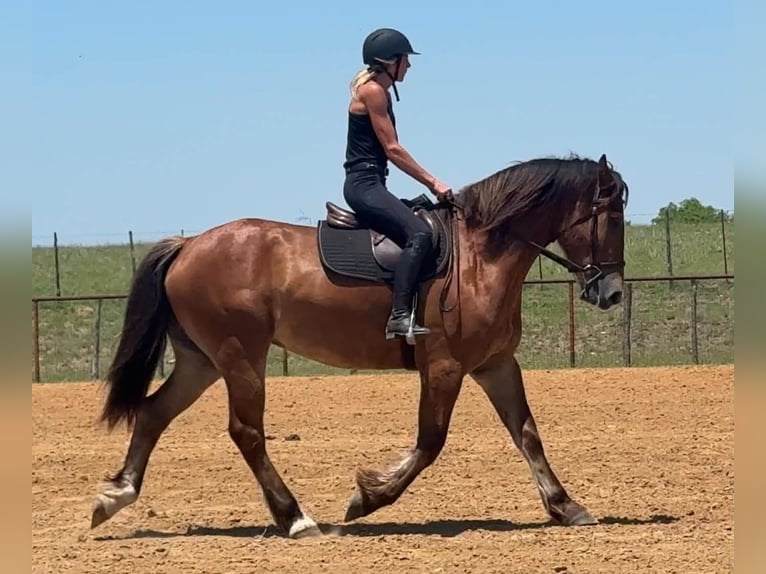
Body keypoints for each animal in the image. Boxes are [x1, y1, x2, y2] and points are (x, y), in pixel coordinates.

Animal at [90, 152, 628, 539]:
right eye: (612, 217)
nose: (612, 293)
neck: (480, 257)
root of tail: (189, 244)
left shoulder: (495, 365)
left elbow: (527, 433)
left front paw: (566, 505)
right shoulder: (445, 366)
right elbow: (430, 442)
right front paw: (368, 498)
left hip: (201, 360)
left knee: (154, 412)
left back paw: (115, 496)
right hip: (239, 355)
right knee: (246, 432)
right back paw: (296, 519)